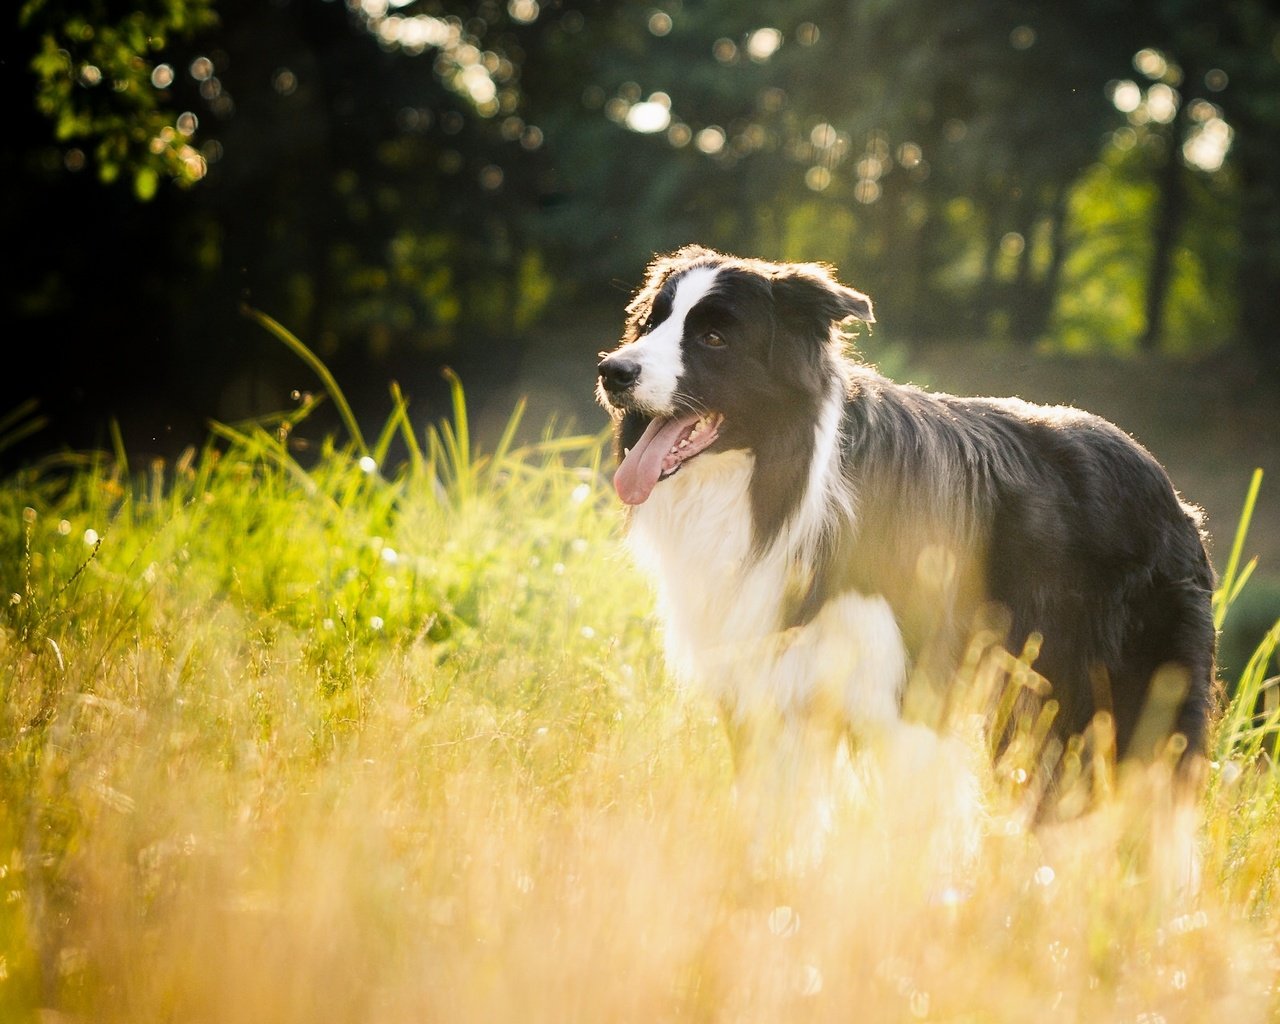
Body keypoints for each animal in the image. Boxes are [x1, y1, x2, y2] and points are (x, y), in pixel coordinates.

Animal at [593, 241, 1213, 824]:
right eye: (651, 322)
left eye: (715, 338)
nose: (612, 371)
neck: (779, 477)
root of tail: (1167, 485)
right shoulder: (768, 690)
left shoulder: (908, 693)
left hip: (1134, 692)